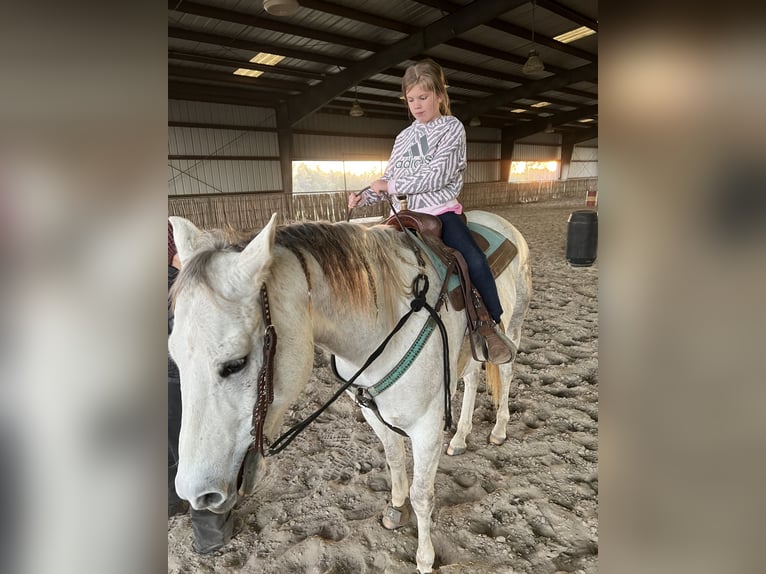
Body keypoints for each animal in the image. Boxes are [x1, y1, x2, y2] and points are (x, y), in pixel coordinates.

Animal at [169, 210, 531, 573]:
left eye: (236, 363)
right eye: (175, 358)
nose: (197, 495)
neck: (383, 327)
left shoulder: (427, 427)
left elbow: (422, 494)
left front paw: (425, 559)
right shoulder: (373, 413)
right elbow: (394, 461)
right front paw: (396, 510)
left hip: (512, 327)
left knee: (506, 372)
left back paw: (498, 430)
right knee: (472, 378)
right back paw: (460, 438)